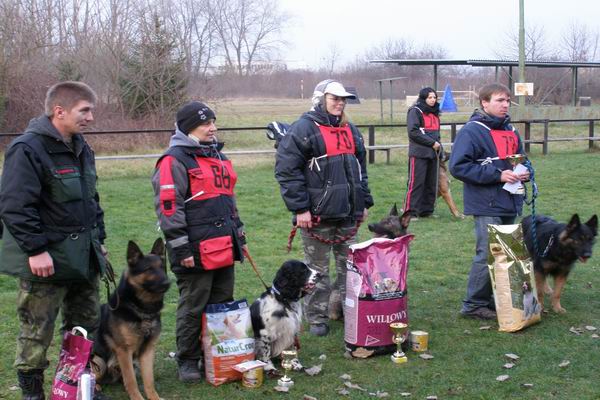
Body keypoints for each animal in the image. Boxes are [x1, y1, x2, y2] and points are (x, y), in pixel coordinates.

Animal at [92, 239, 170, 400]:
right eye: (149, 269)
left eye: (161, 267)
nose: (167, 283)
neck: (142, 310)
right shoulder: (124, 351)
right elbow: (131, 380)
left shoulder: (148, 350)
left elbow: (149, 380)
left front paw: (154, 397)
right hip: (99, 362)